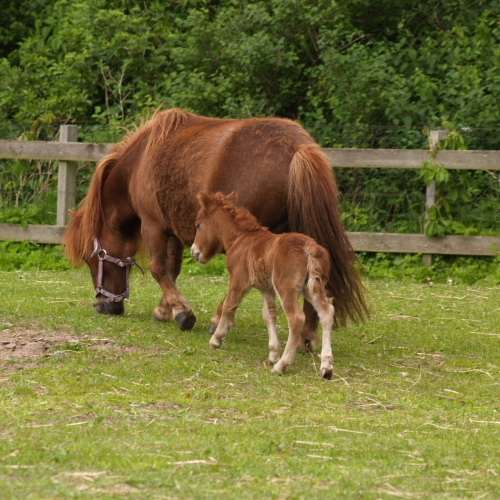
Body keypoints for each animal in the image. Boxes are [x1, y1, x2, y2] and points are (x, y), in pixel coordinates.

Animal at [63, 107, 368, 346]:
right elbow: (172, 270)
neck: (139, 162)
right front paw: (165, 309)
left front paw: (182, 312)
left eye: (91, 258)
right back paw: (307, 334)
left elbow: (158, 268)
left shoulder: (154, 226)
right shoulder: (174, 230)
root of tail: (297, 147)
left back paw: (220, 319)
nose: (103, 306)